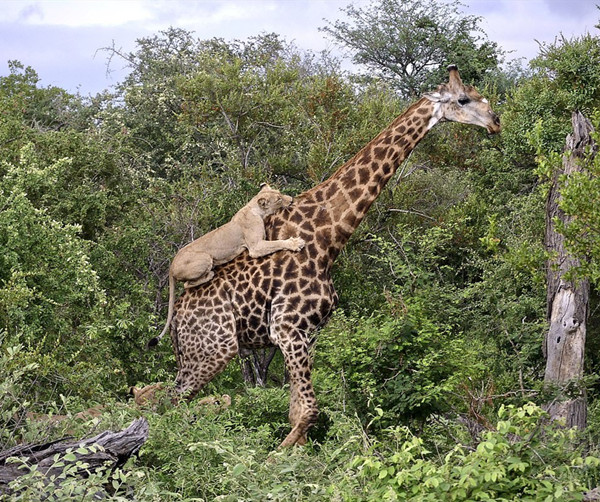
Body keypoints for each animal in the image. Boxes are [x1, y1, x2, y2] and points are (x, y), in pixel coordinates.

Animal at [155, 65, 496, 448]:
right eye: (463, 99)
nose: (495, 121)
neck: (329, 237)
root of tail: (177, 318)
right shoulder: (288, 329)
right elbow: (308, 411)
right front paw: (277, 457)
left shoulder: (308, 333)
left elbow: (296, 412)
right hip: (214, 347)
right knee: (171, 400)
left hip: (196, 352)